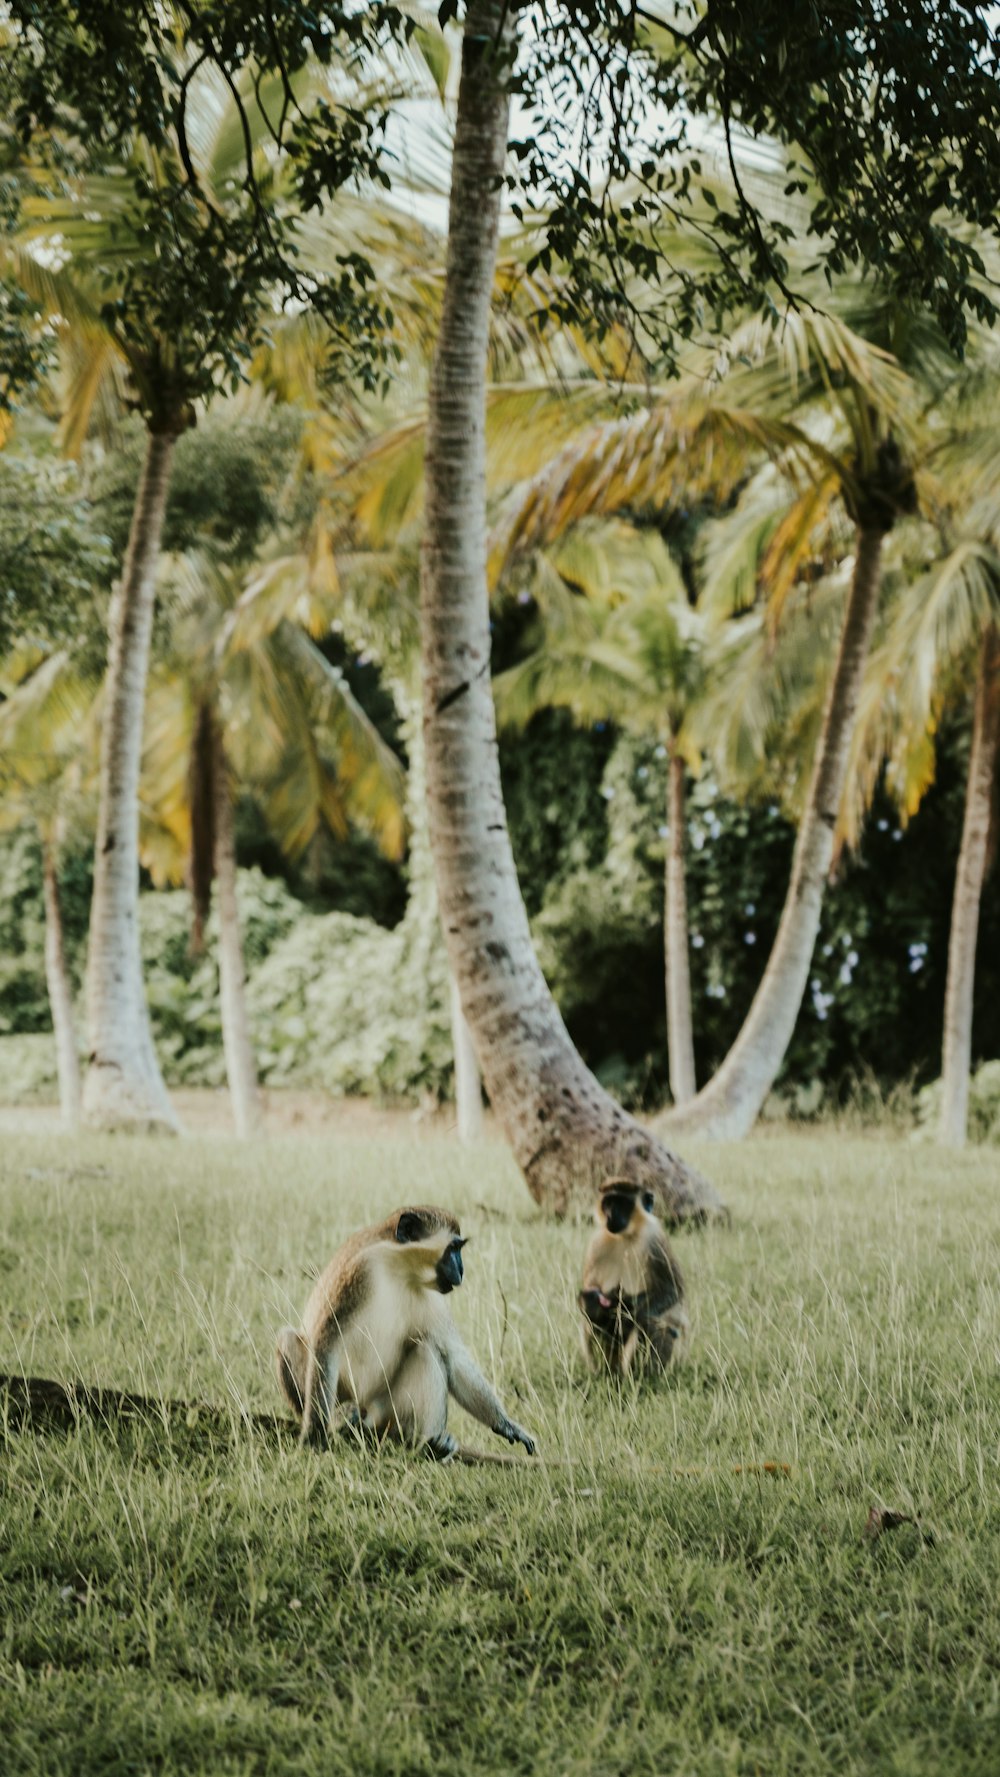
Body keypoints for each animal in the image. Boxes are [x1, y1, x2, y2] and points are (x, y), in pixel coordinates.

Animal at [273, 1201, 539, 1464]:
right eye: (453, 1248)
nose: (462, 1270)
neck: (400, 1269)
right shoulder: (360, 1272)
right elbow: (327, 1341)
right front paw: (314, 1436)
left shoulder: (433, 1297)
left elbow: (453, 1357)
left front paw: (506, 1425)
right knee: (288, 1340)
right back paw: (344, 1419)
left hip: (387, 1411)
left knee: (427, 1349)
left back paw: (429, 1445)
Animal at [579, 1179, 689, 1371]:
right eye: (608, 1202)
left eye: (623, 1203)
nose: (611, 1216)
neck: (626, 1235)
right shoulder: (597, 1243)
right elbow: (591, 1290)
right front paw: (597, 1306)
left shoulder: (655, 1240)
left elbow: (671, 1290)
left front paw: (626, 1318)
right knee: (589, 1322)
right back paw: (603, 1372)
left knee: (652, 1323)